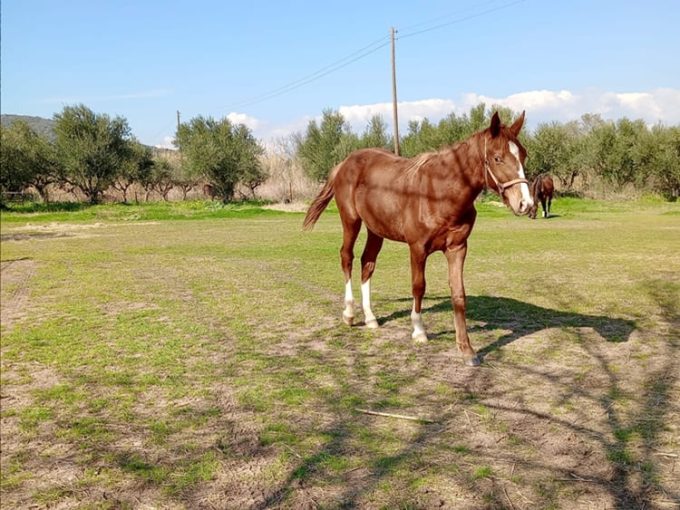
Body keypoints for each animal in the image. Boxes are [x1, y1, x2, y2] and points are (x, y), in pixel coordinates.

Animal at [302, 113, 532, 364]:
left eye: (523, 155)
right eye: (497, 158)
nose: (526, 204)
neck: (440, 194)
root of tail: (344, 163)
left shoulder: (458, 248)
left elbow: (458, 294)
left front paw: (466, 349)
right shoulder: (418, 248)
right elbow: (418, 287)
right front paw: (419, 331)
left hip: (375, 230)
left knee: (367, 263)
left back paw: (371, 318)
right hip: (351, 221)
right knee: (347, 257)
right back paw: (349, 314)